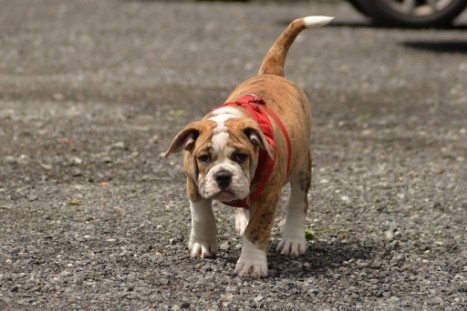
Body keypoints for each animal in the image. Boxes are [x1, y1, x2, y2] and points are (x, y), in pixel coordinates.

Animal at [165, 15, 332, 278]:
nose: (223, 176)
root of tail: (272, 73)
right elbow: (201, 215)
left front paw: (252, 263)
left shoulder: (268, 194)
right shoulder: (193, 182)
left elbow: (257, 229)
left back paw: (293, 240)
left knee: (298, 202)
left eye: (241, 156)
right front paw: (202, 243)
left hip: (303, 165)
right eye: (204, 158)